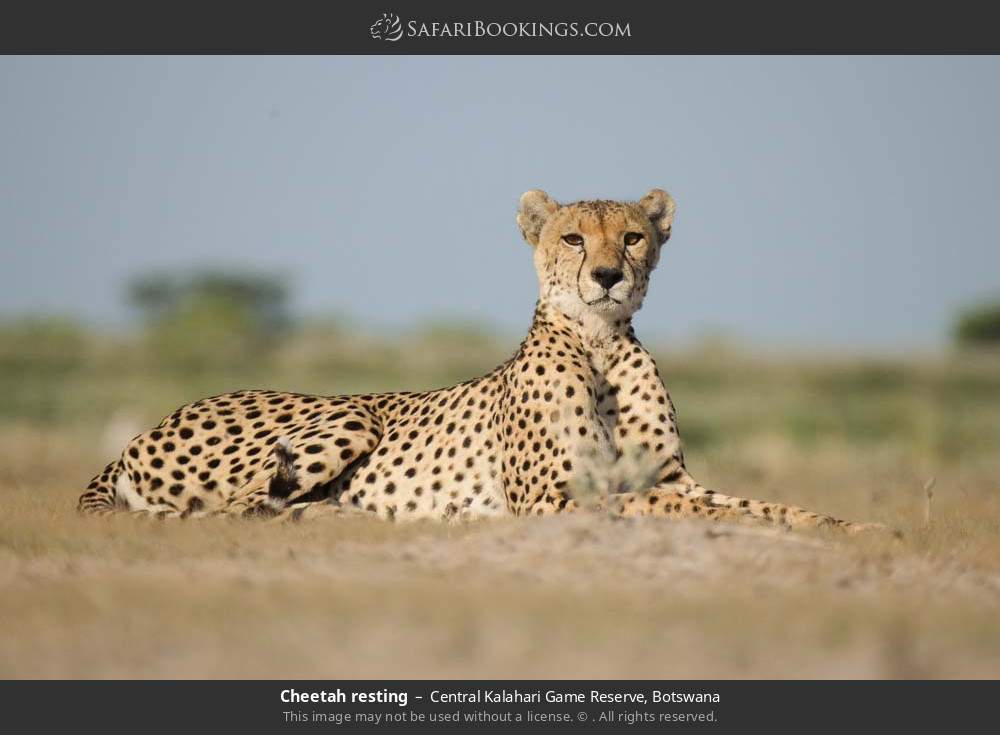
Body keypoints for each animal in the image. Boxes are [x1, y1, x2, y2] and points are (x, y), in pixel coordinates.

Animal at [80, 190, 892, 536]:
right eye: (573, 237)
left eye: (633, 236)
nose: (607, 276)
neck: (600, 343)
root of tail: (144, 427)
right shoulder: (558, 500)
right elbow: (665, 507)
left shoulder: (667, 476)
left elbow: (756, 503)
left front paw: (844, 524)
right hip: (348, 413)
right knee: (238, 506)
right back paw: (344, 514)